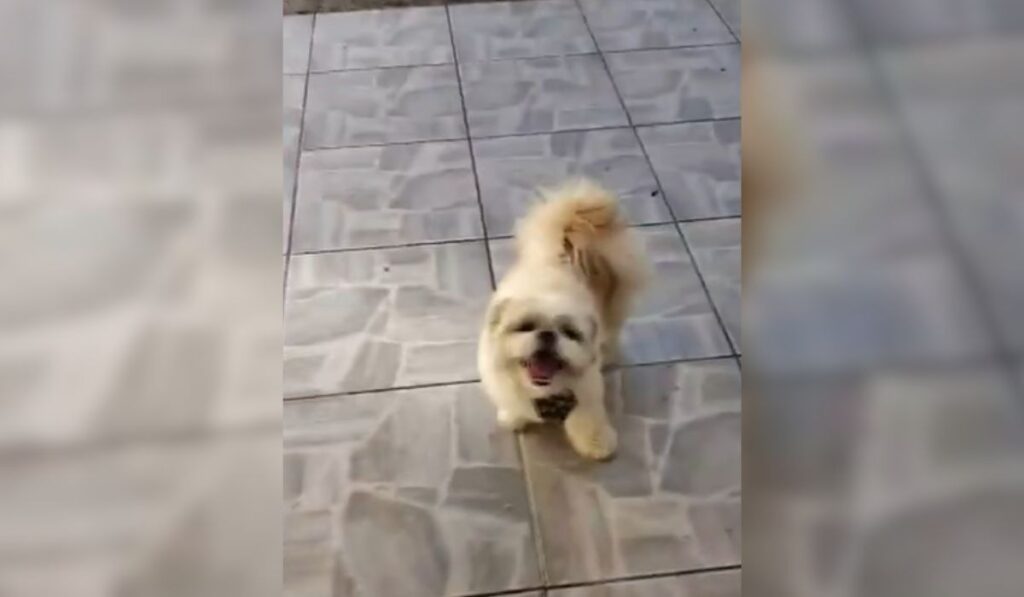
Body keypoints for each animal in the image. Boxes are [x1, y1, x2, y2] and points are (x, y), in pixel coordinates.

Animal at [477, 179, 648, 460]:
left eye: (569, 333)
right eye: (525, 327)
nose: (547, 334)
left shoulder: (586, 388)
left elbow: (586, 418)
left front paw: (596, 443)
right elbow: (514, 403)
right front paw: (515, 417)